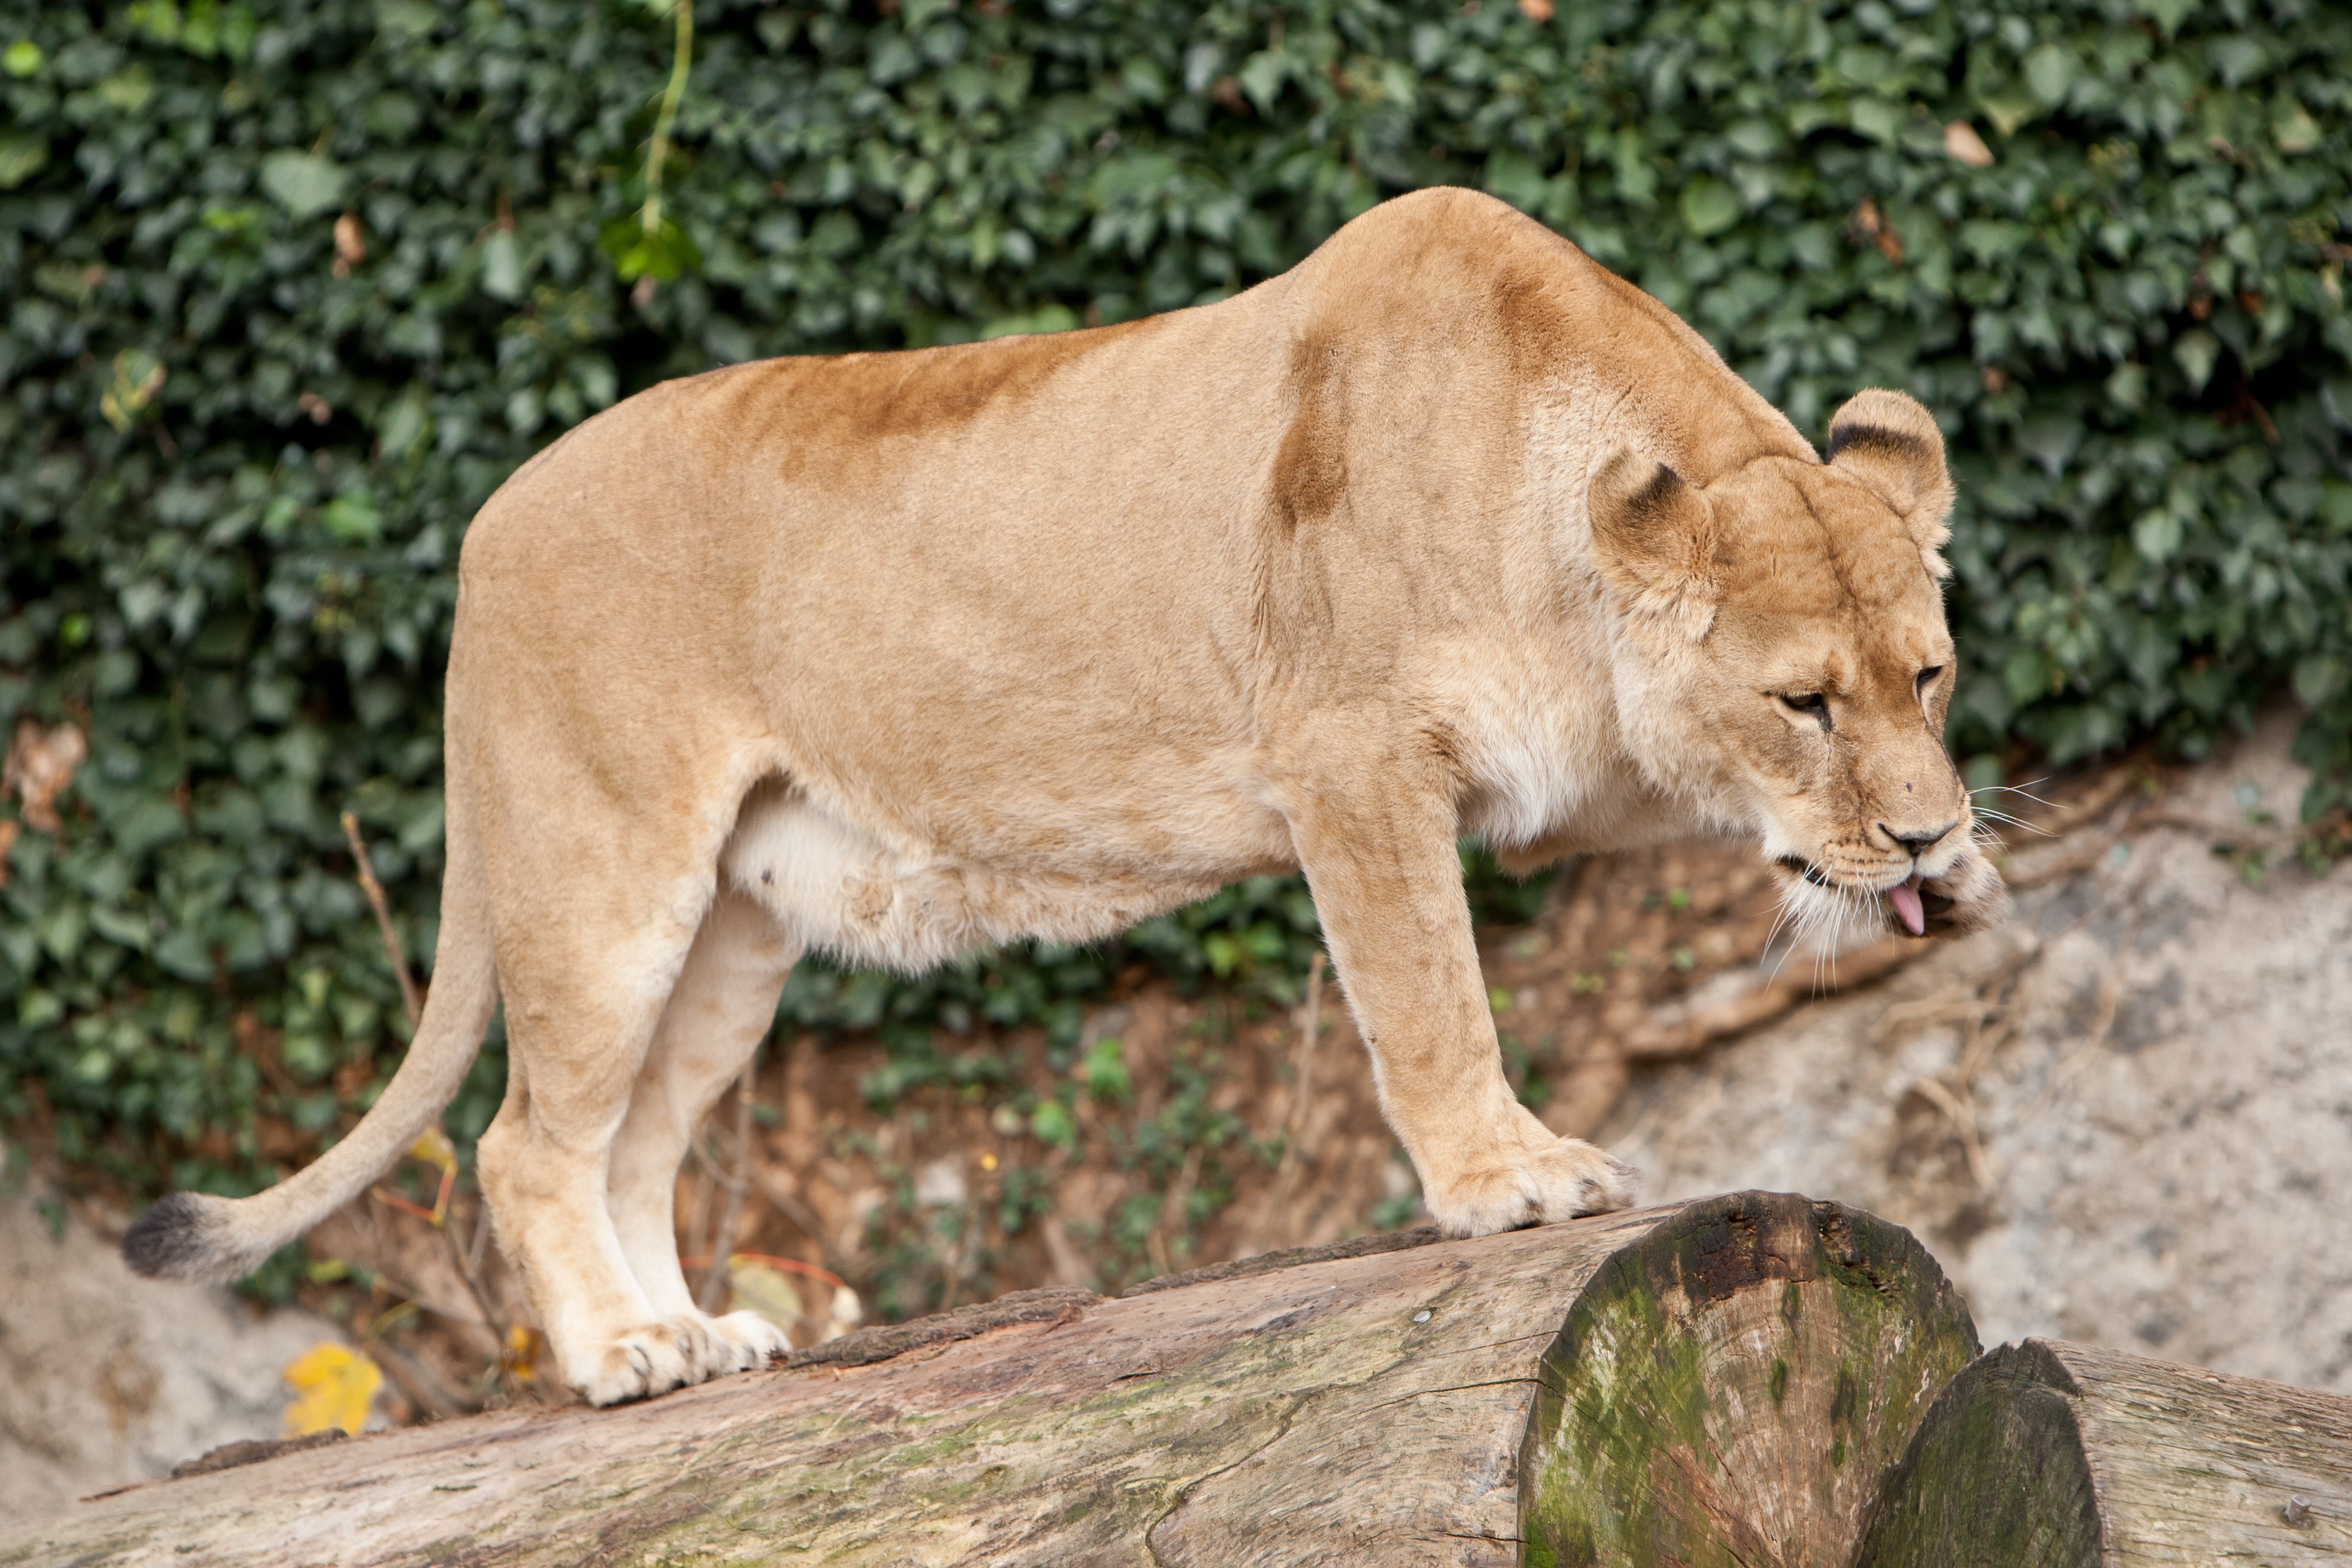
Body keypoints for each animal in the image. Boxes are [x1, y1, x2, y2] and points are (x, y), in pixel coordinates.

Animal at [124, 187, 2006, 1405]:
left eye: (1926, 676)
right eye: (1801, 702)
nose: (1922, 831)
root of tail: (481, 531)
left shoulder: (1566, 760)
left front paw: (1965, 871)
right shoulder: (1348, 757)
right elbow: (1428, 995)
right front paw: (1506, 1180)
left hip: (735, 925)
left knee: (636, 1145)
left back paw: (701, 1340)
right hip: (605, 872)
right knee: (529, 1144)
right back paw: (622, 1358)